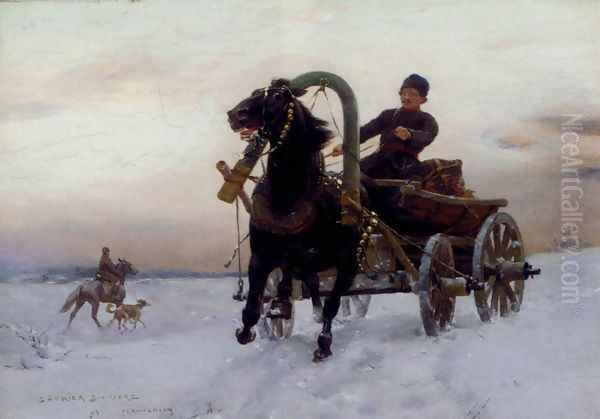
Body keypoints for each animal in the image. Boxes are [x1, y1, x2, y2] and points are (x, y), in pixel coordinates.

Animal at [227, 78, 364, 360]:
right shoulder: (262, 257)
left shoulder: (346, 263)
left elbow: (333, 303)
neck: (287, 200)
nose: (236, 114)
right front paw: (246, 332)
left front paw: (324, 343)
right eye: (255, 92)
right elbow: (253, 305)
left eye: (279, 97)